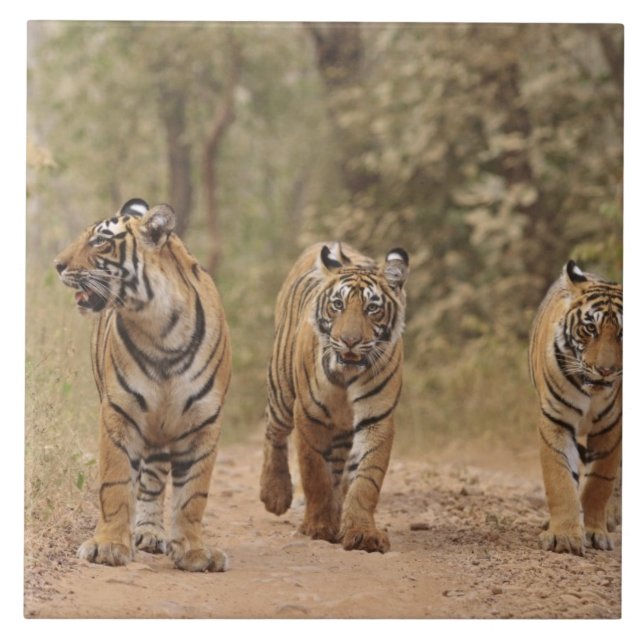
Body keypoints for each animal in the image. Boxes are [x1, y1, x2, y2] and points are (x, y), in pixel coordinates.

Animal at [54, 198, 232, 572]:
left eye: (99, 241)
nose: (57, 265)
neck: (161, 328)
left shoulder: (204, 421)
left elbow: (193, 494)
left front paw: (194, 551)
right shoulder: (119, 412)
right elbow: (116, 482)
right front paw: (108, 545)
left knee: (153, 481)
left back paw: (150, 532)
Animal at [259, 242, 409, 553]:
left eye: (372, 308)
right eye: (338, 304)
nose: (350, 341)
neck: (346, 376)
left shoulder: (376, 419)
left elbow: (365, 480)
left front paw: (362, 533)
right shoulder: (308, 415)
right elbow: (315, 473)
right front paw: (318, 526)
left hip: (341, 430)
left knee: (340, 471)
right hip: (281, 389)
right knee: (273, 432)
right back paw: (275, 493)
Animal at [528, 259, 622, 556]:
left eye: (623, 333)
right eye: (590, 328)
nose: (605, 370)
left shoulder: (611, 426)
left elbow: (599, 483)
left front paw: (594, 532)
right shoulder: (556, 420)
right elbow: (560, 479)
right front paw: (565, 536)